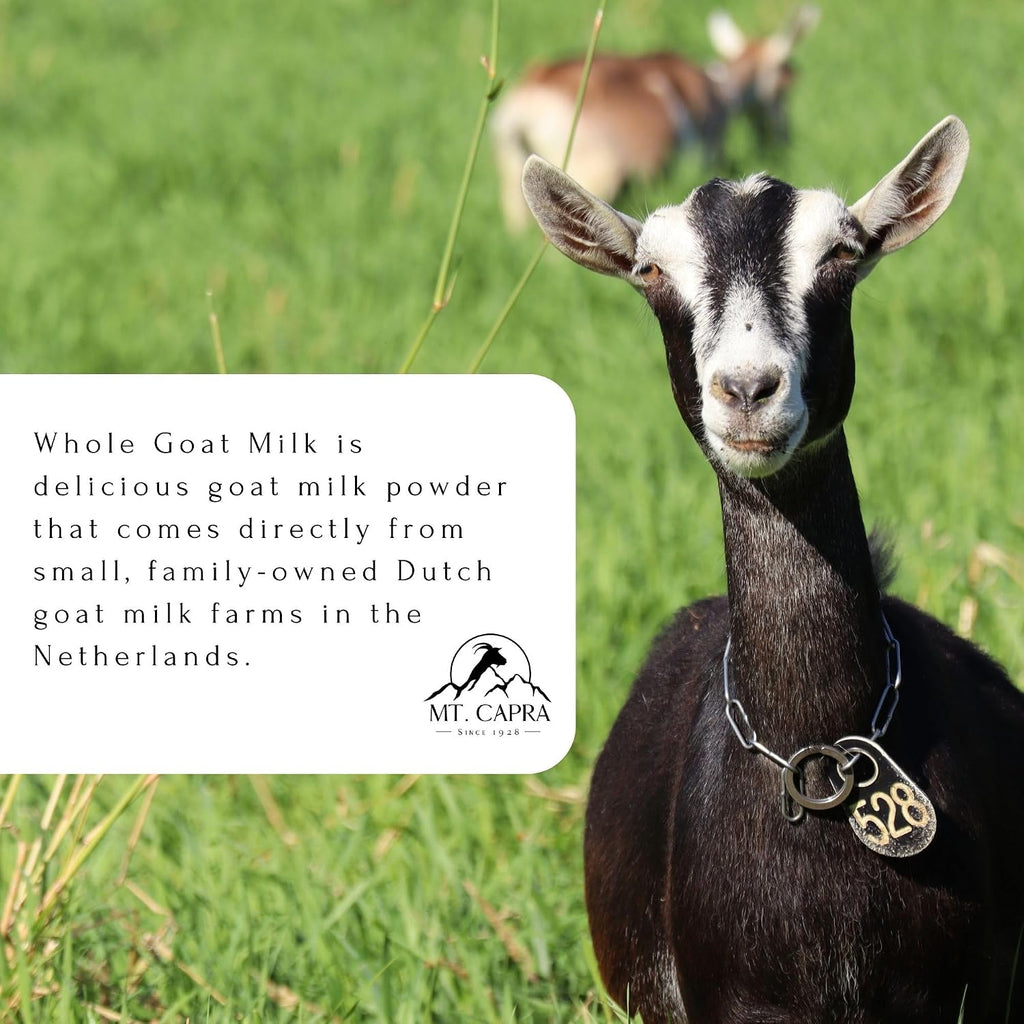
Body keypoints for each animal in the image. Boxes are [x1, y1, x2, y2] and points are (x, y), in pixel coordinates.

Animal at [493, 6, 819, 232]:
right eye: (784, 83)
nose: (784, 137)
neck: (720, 89)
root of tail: (528, 103)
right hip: (591, 175)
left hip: (514, 169)